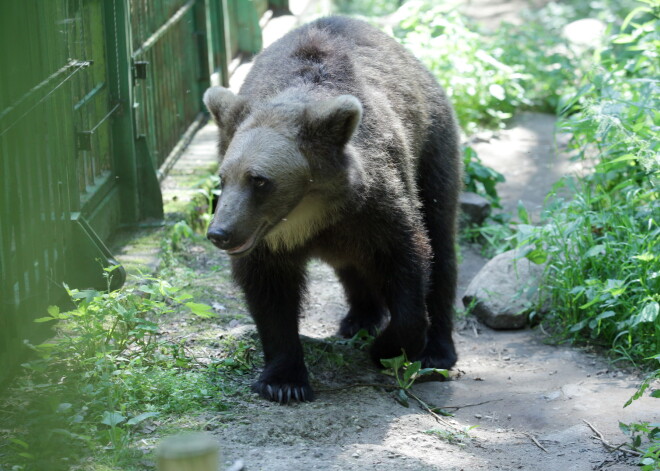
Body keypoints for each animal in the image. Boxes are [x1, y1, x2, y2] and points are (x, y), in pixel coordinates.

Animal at [205, 16, 458, 404]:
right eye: (223, 176)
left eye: (259, 180)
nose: (220, 233)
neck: (309, 215)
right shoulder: (267, 239)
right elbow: (269, 292)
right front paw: (284, 381)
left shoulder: (377, 206)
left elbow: (408, 262)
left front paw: (387, 348)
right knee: (352, 264)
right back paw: (358, 318)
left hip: (432, 152)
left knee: (441, 243)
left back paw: (438, 351)